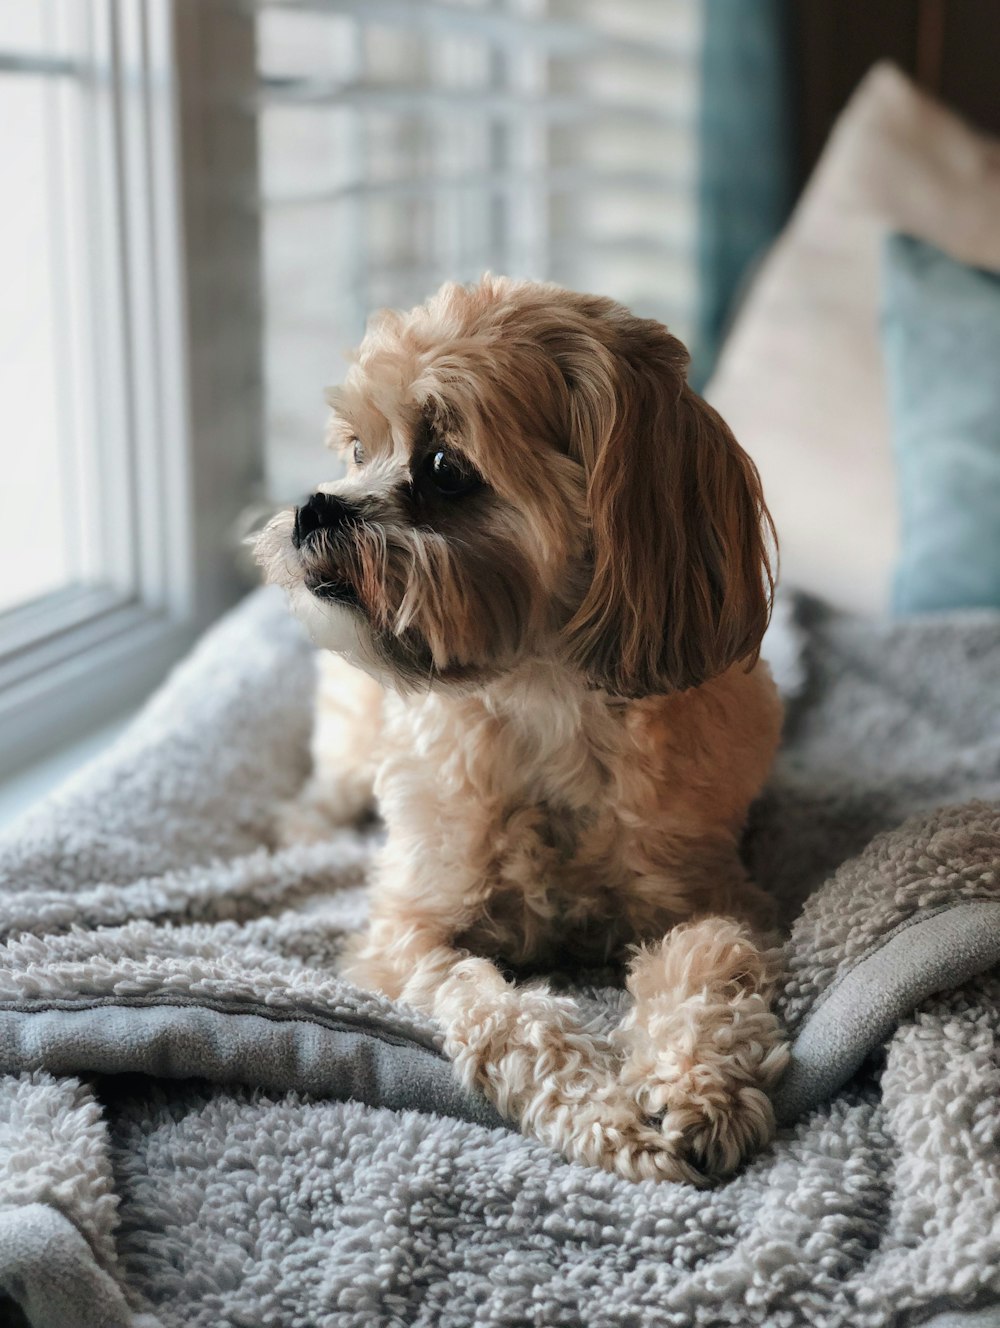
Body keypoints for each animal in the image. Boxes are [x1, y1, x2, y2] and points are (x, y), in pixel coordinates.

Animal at [257, 277, 786, 1184]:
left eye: (444, 468)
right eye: (357, 450)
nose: (312, 506)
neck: (545, 697)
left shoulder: (719, 898)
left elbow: (712, 965)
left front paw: (696, 1085)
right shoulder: (409, 933)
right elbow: (500, 1012)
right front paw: (605, 1113)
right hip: (353, 745)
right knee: (328, 784)